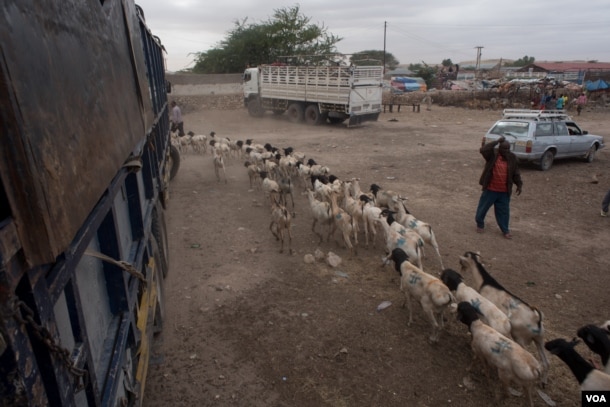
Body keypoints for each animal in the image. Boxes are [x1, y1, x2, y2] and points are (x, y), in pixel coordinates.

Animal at [458, 252, 548, 386]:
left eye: (465, 255)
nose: (459, 259)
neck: (485, 283)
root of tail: (537, 319)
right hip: (539, 339)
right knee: (546, 362)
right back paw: (543, 382)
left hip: (519, 337)